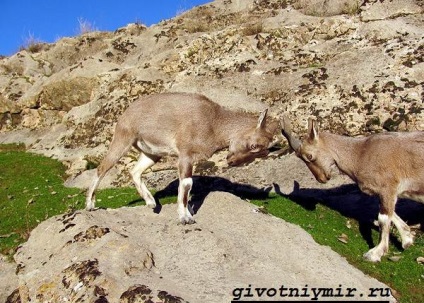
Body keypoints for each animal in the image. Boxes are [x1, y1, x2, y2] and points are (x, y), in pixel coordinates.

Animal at [85, 91, 278, 224]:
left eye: (261, 154)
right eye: (253, 146)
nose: (232, 161)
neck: (214, 123)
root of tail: (126, 113)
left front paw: (188, 213)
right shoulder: (185, 155)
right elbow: (186, 185)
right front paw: (186, 218)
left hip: (151, 153)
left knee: (135, 172)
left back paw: (151, 203)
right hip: (123, 139)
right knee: (102, 168)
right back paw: (90, 205)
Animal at [282, 116, 424, 264]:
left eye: (309, 156)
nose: (322, 179)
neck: (360, 153)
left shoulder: (388, 186)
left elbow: (383, 218)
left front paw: (374, 253)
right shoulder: (385, 193)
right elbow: (390, 213)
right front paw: (407, 240)